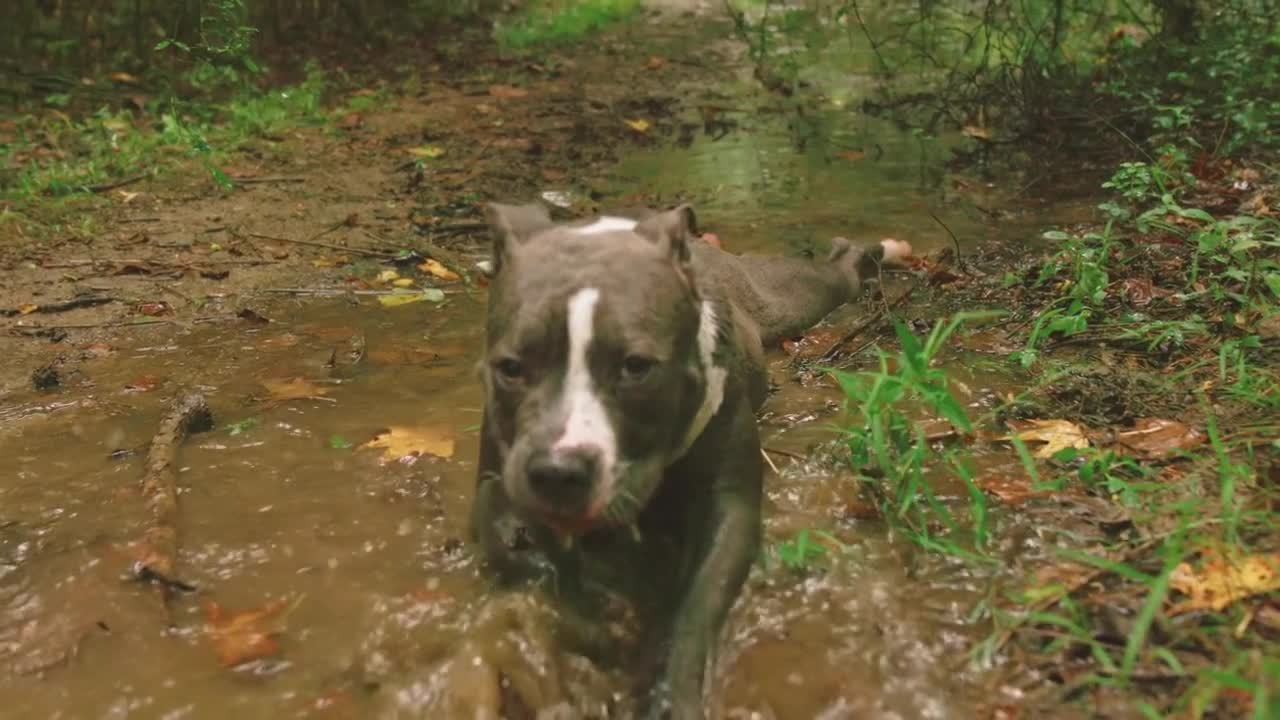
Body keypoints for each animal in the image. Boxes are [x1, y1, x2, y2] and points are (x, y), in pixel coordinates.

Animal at [471, 203, 911, 717]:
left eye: (637, 367)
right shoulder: (496, 473)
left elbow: (694, 606)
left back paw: (871, 254)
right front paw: (575, 606)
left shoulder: (728, 509)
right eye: (511, 367)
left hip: (790, 295)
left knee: (834, 276)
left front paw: (668, 689)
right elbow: (502, 530)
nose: (559, 472)